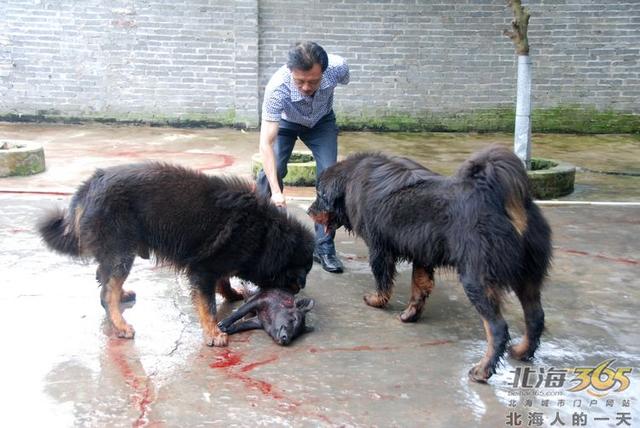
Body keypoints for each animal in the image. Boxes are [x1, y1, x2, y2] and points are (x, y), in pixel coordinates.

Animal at [38, 162, 314, 346]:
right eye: (296, 277)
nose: (297, 292)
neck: (266, 234)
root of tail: (89, 185)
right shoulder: (203, 269)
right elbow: (208, 305)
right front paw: (213, 332)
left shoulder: (216, 263)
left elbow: (223, 280)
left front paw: (230, 293)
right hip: (121, 253)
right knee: (107, 293)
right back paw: (121, 325)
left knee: (103, 279)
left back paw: (122, 295)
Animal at [308, 146, 552, 382]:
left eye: (320, 194)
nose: (309, 211)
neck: (352, 178)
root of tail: (496, 196)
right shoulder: (422, 254)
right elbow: (419, 287)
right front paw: (410, 315)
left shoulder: (379, 247)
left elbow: (383, 280)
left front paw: (376, 300)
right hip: (528, 276)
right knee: (535, 317)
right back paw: (522, 351)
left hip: (476, 278)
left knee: (497, 328)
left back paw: (483, 370)